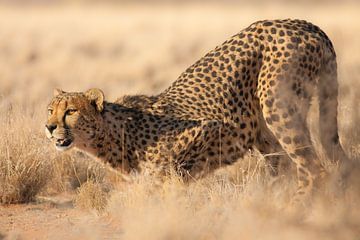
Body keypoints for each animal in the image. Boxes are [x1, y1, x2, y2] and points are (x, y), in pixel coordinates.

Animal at [45, 19, 348, 202]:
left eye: (70, 111)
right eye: (50, 110)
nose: (49, 127)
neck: (113, 132)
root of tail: (305, 24)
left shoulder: (210, 127)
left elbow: (174, 178)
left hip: (277, 106)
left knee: (314, 169)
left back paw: (292, 208)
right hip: (263, 127)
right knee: (285, 165)